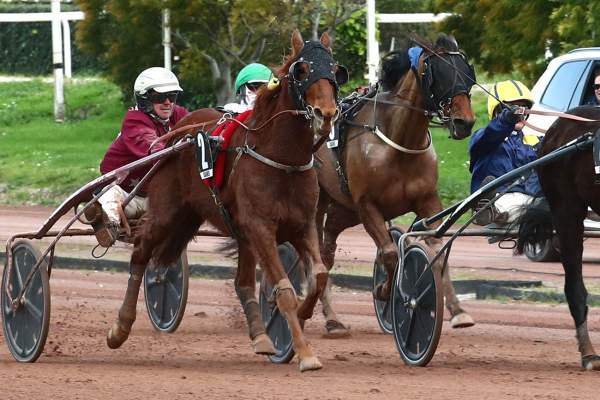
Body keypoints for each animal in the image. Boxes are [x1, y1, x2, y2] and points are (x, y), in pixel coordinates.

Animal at [105, 30, 344, 372]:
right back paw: (120, 328)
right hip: (166, 213)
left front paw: (300, 317)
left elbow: (319, 276)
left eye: (336, 69)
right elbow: (284, 289)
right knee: (140, 253)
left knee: (242, 282)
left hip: (230, 229)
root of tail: (177, 134)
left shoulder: (302, 224)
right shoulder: (261, 227)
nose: (327, 114)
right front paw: (305, 352)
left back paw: (261, 338)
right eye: (301, 70)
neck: (281, 159)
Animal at [316, 34, 476, 336]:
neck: (397, 142)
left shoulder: (428, 201)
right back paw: (330, 319)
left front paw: (459, 312)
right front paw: (383, 291)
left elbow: (437, 251)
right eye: (439, 73)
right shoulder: (366, 205)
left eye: (467, 72)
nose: (465, 122)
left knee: (327, 249)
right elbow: (390, 253)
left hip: (342, 211)